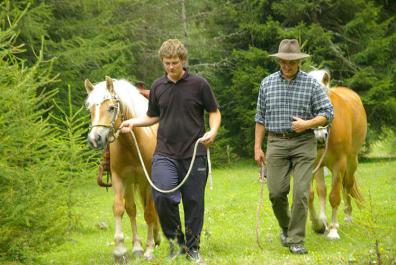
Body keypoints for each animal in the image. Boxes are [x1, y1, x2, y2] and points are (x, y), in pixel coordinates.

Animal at [85, 76, 161, 260]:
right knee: (132, 209)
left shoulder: (149, 181)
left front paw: (149, 249)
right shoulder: (121, 179)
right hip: (131, 183)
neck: (133, 143)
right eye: (90, 110)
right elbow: (120, 208)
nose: (94, 139)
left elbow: (149, 212)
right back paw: (140, 245)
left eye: (111, 107)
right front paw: (122, 249)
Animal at [308, 69, 366, 239]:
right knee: (324, 190)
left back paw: (347, 216)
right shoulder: (313, 164)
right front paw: (320, 224)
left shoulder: (339, 163)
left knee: (347, 184)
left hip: (351, 161)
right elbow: (314, 193)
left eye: (325, 102)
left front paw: (333, 231)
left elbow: (334, 196)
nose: (319, 136)